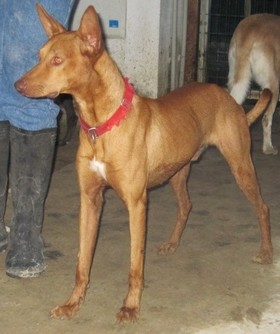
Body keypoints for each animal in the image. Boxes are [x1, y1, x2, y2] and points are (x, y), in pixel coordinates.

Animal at [14, 4, 272, 324]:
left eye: (57, 60)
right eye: (39, 56)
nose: (16, 85)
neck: (101, 125)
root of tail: (229, 98)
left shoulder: (137, 204)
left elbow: (135, 265)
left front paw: (131, 307)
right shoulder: (89, 200)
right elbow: (82, 261)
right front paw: (73, 303)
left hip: (240, 165)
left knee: (262, 207)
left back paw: (266, 252)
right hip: (178, 172)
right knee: (186, 205)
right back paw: (173, 243)